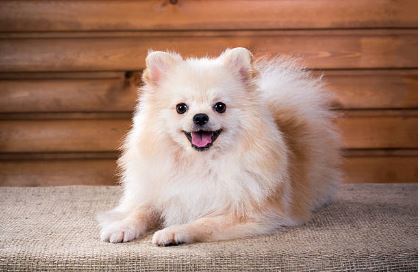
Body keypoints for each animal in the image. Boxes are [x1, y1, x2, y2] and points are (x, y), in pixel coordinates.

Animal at [97, 47, 342, 246]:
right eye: (181, 108)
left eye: (220, 106)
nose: (200, 117)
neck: (200, 162)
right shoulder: (161, 194)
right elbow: (140, 211)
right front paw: (121, 227)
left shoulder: (251, 213)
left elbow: (203, 221)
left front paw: (173, 231)